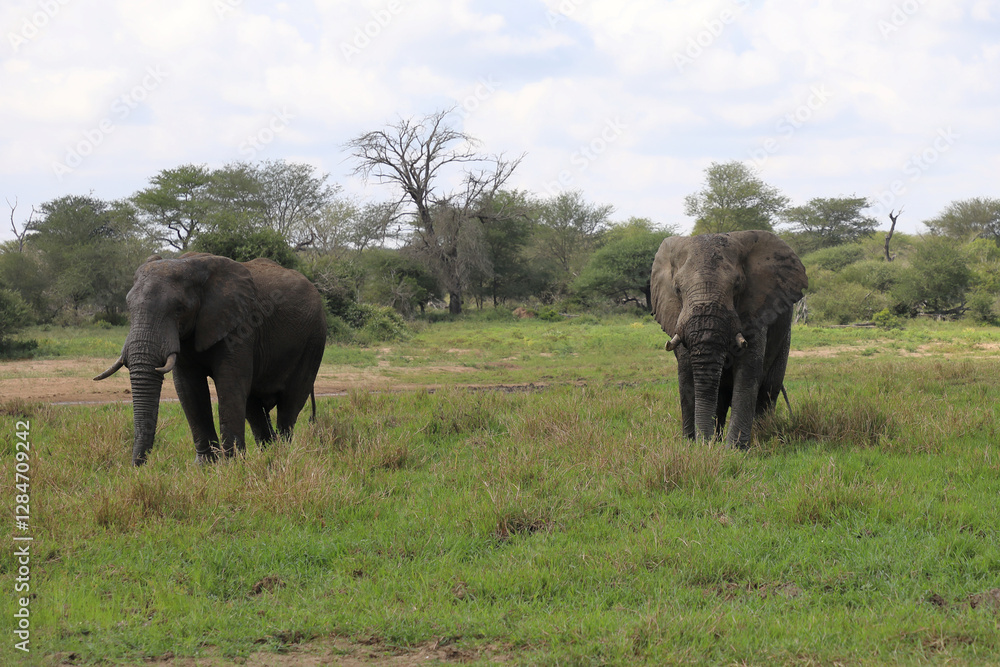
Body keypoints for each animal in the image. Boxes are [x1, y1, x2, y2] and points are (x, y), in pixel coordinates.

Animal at [95, 252, 327, 466]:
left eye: (179, 309)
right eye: (129, 307)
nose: (137, 467)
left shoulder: (242, 325)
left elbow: (229, 384)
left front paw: (231, 467)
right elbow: (189, 389)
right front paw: (206, 466)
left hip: (313, 339)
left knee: (289, 404)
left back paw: (281, 456)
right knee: (254, 407)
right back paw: (268, 454)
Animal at [650, 231, 807, 448]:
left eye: (737, 286)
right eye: (678, 289)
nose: (703, 443)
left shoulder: (755, 311)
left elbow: (748, 371)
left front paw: (735, 449)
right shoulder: (677, 317)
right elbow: (686, 374)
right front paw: (692, 445)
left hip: (785, 338)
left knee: (768, 391)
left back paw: (762, 434)